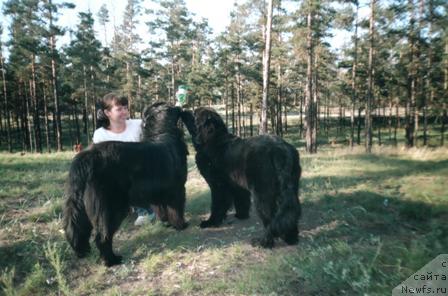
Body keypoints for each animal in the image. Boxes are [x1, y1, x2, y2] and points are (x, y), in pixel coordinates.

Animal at [62, 102, 189, 266]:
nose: (180, 105)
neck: (162, 133)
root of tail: (87, 156)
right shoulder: (177, 189)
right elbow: (177, 209)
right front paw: (181, 225)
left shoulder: (159, 192)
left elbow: (163, 209)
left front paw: (166, 223)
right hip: (112, 207)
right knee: (102, 236)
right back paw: (112, 260)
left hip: (80, 204)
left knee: (77, 228)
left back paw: (83, 251)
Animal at [184, 107, 302, 249]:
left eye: (194, 113)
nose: (184, 109)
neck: (214, 138)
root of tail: (280, 150)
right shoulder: (237, 184)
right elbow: (241, 200)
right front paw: (241, 215)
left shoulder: (218, 186)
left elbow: (217, 205)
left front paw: (210, 222)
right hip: (290, 187)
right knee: (290, 212)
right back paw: (291, 238)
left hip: (262, 194)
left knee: (269, 218)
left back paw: (264, 242)